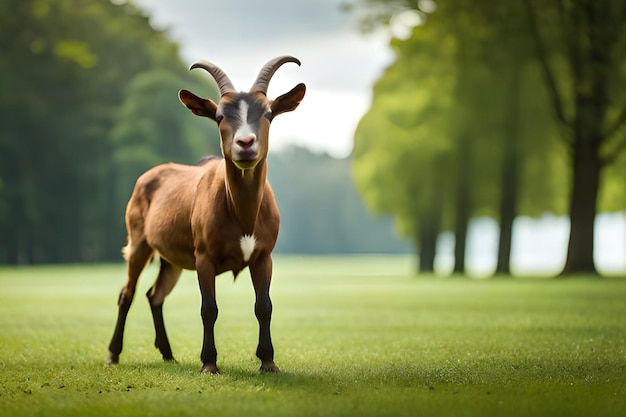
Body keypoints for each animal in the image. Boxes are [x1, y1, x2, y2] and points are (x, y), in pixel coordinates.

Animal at [106, 56, 306, 374]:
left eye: (268, 114)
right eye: (221, 116)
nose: (245, 143)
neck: (242, 214)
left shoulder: (264, 255)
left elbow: (264, 306)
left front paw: (268, 362)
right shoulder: (204, 256)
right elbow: (208, 308)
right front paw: (209, 364)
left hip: (172, 258)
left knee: (155, 294)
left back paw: (168, 354)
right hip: (138, 240)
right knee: (128, 293)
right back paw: (113, 354)